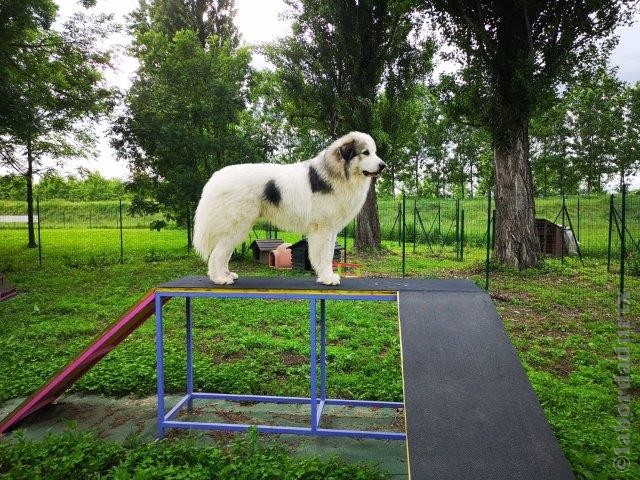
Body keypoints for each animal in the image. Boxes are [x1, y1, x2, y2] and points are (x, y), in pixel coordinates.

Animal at [192, 131, 384, 284]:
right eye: (365, 153)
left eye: (375, 152)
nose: (383, 165)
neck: (336, 173)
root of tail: (216, 178)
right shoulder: (322, 228)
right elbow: (323, 255)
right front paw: (327, 278)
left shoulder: (330, 230)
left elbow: (329, 254)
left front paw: (327, 275)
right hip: (236, 226)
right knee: (217, 254)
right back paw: (219, 278)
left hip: (237, 228)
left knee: (223, 253)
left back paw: (227, 274)